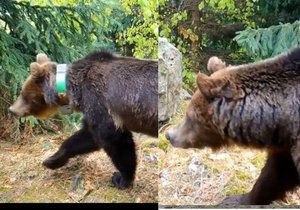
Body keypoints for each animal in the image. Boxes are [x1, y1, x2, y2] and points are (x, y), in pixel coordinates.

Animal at [9, 50, 157, 189]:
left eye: (23, 93)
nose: (11, 109)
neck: (73, 91)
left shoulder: (98, 102)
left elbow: (114, 139)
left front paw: (121, 178)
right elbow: (86, 137)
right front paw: (51, 160)